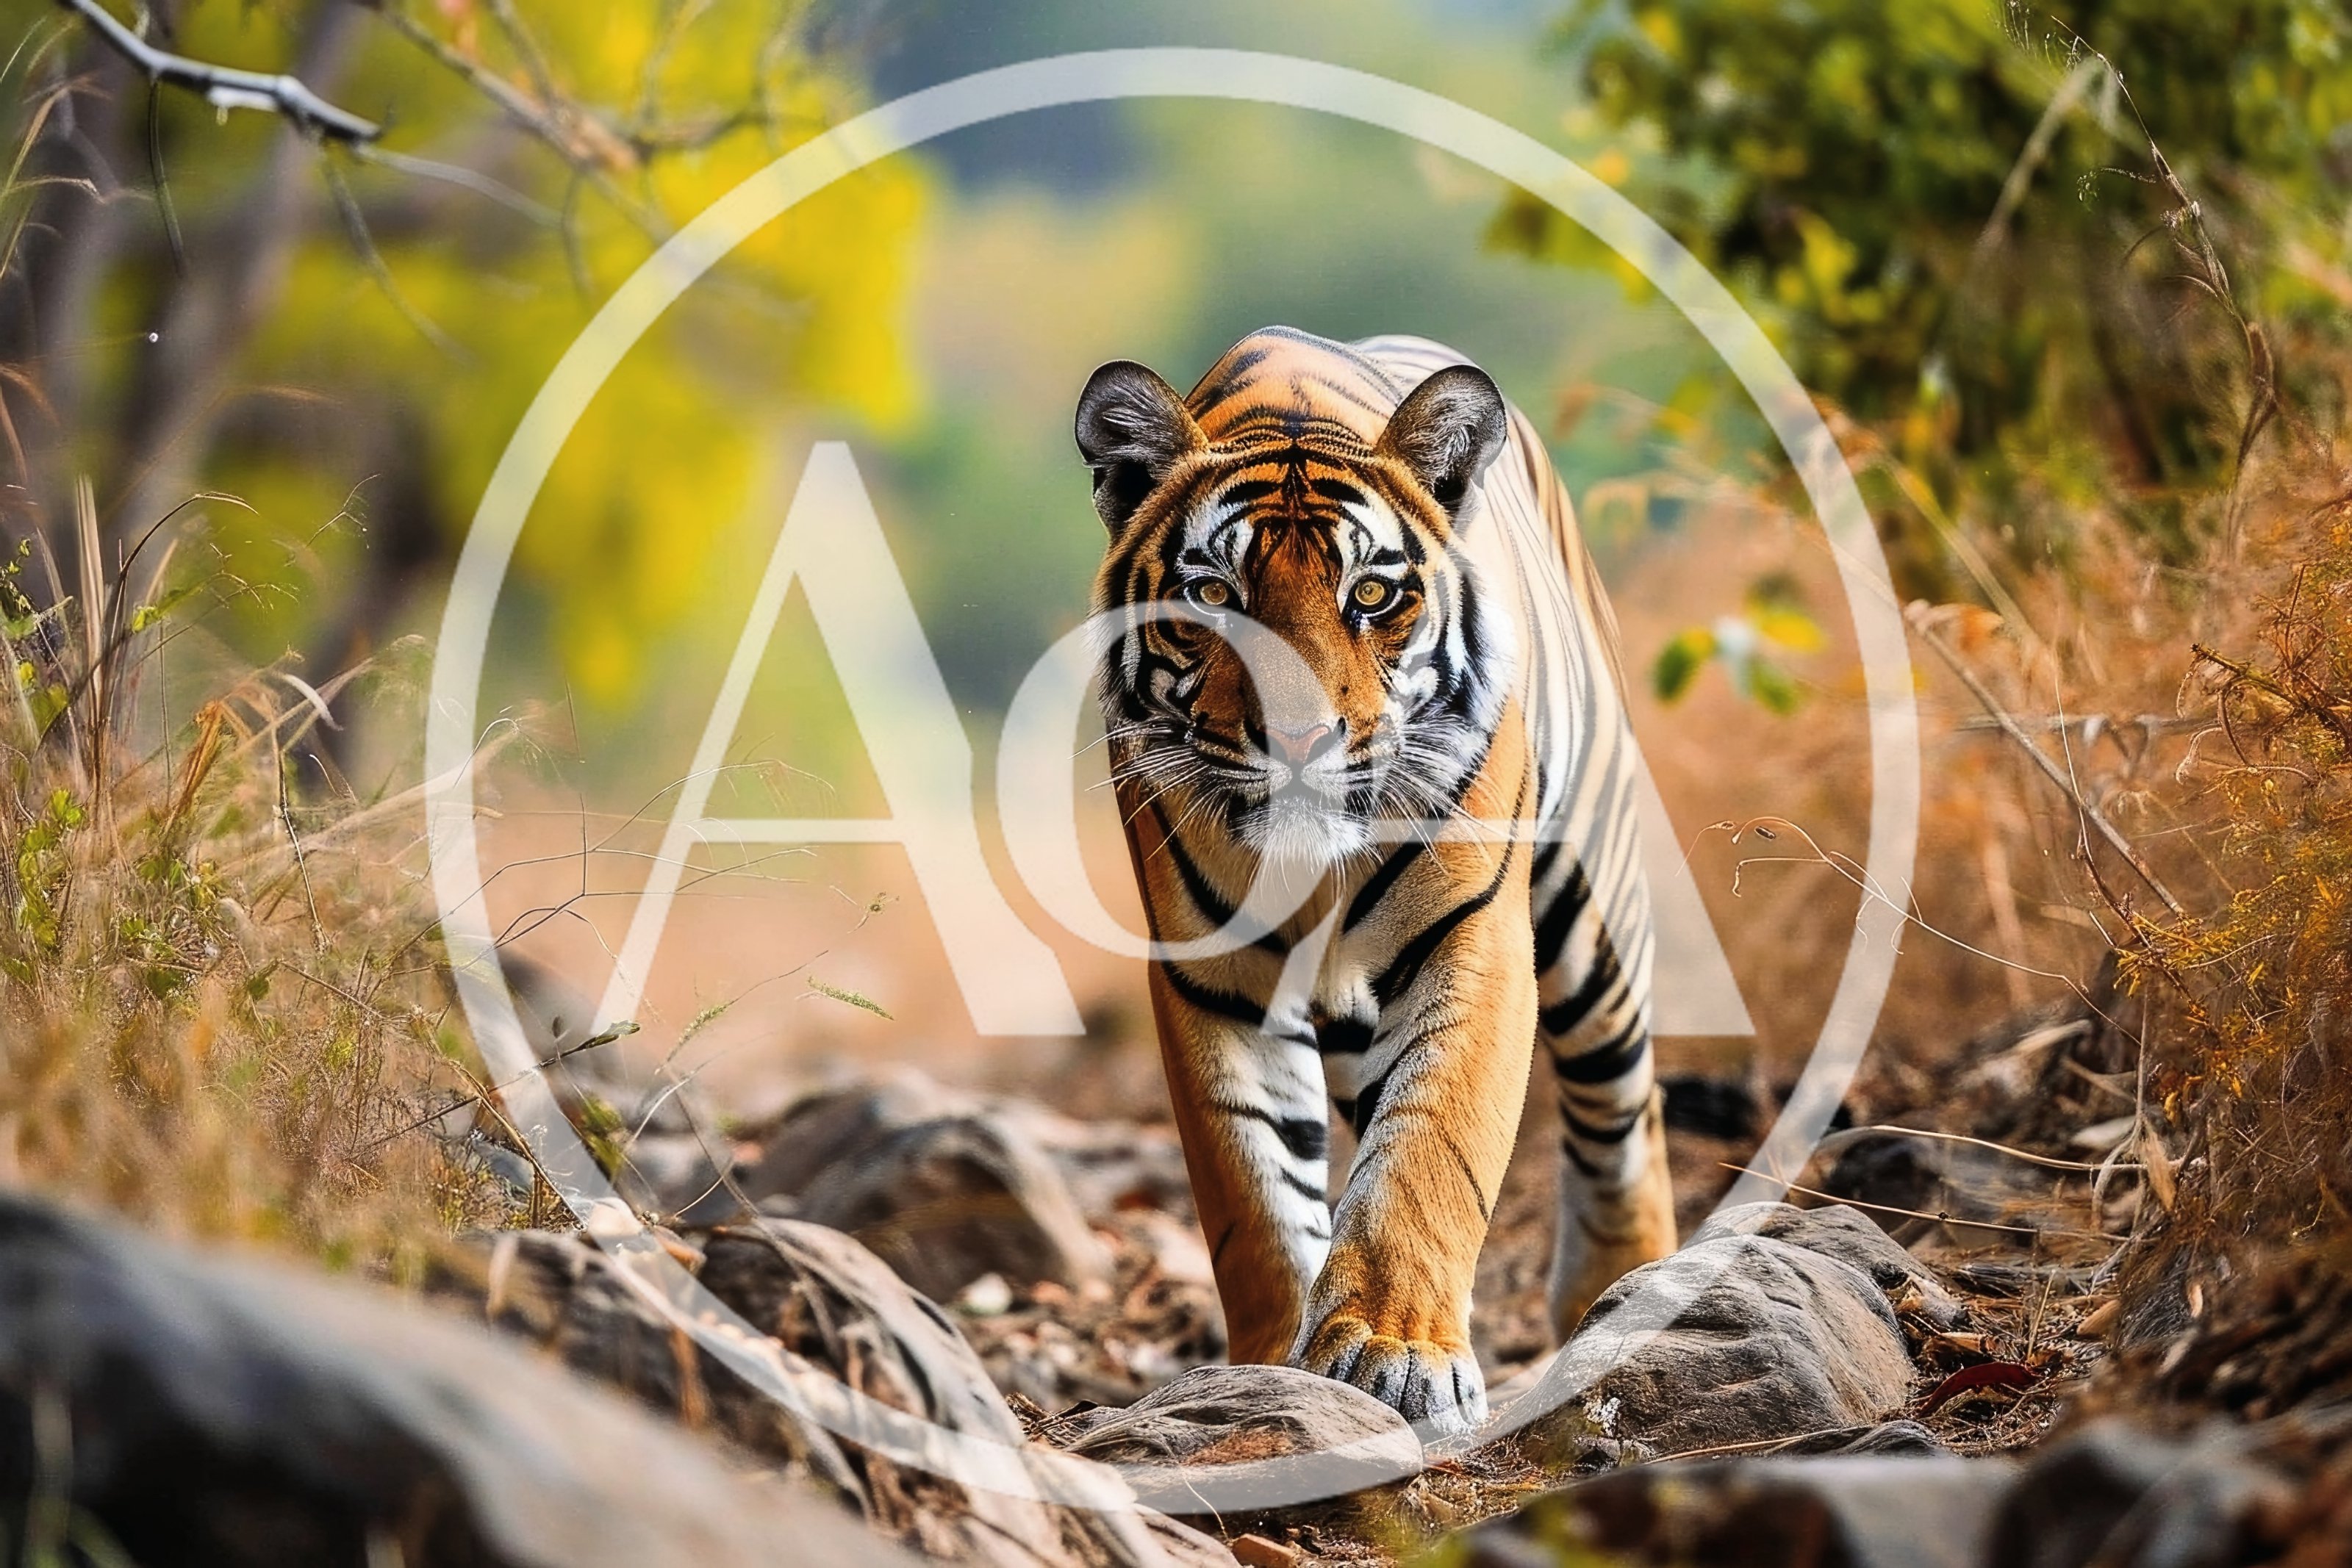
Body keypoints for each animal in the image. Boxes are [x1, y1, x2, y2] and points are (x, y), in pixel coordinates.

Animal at [1076, 326, 1676, 1435]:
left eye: (1371, 595)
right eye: (1212, 596)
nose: (1299, 738)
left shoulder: (1471, 941)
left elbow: (1428, 1153)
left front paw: (1396, 1353)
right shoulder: (1213, 979)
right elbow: (1254, 1193)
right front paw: (1274, 1366)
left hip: (1591, 907)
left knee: (1621, 1108)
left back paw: (1621, 1291)